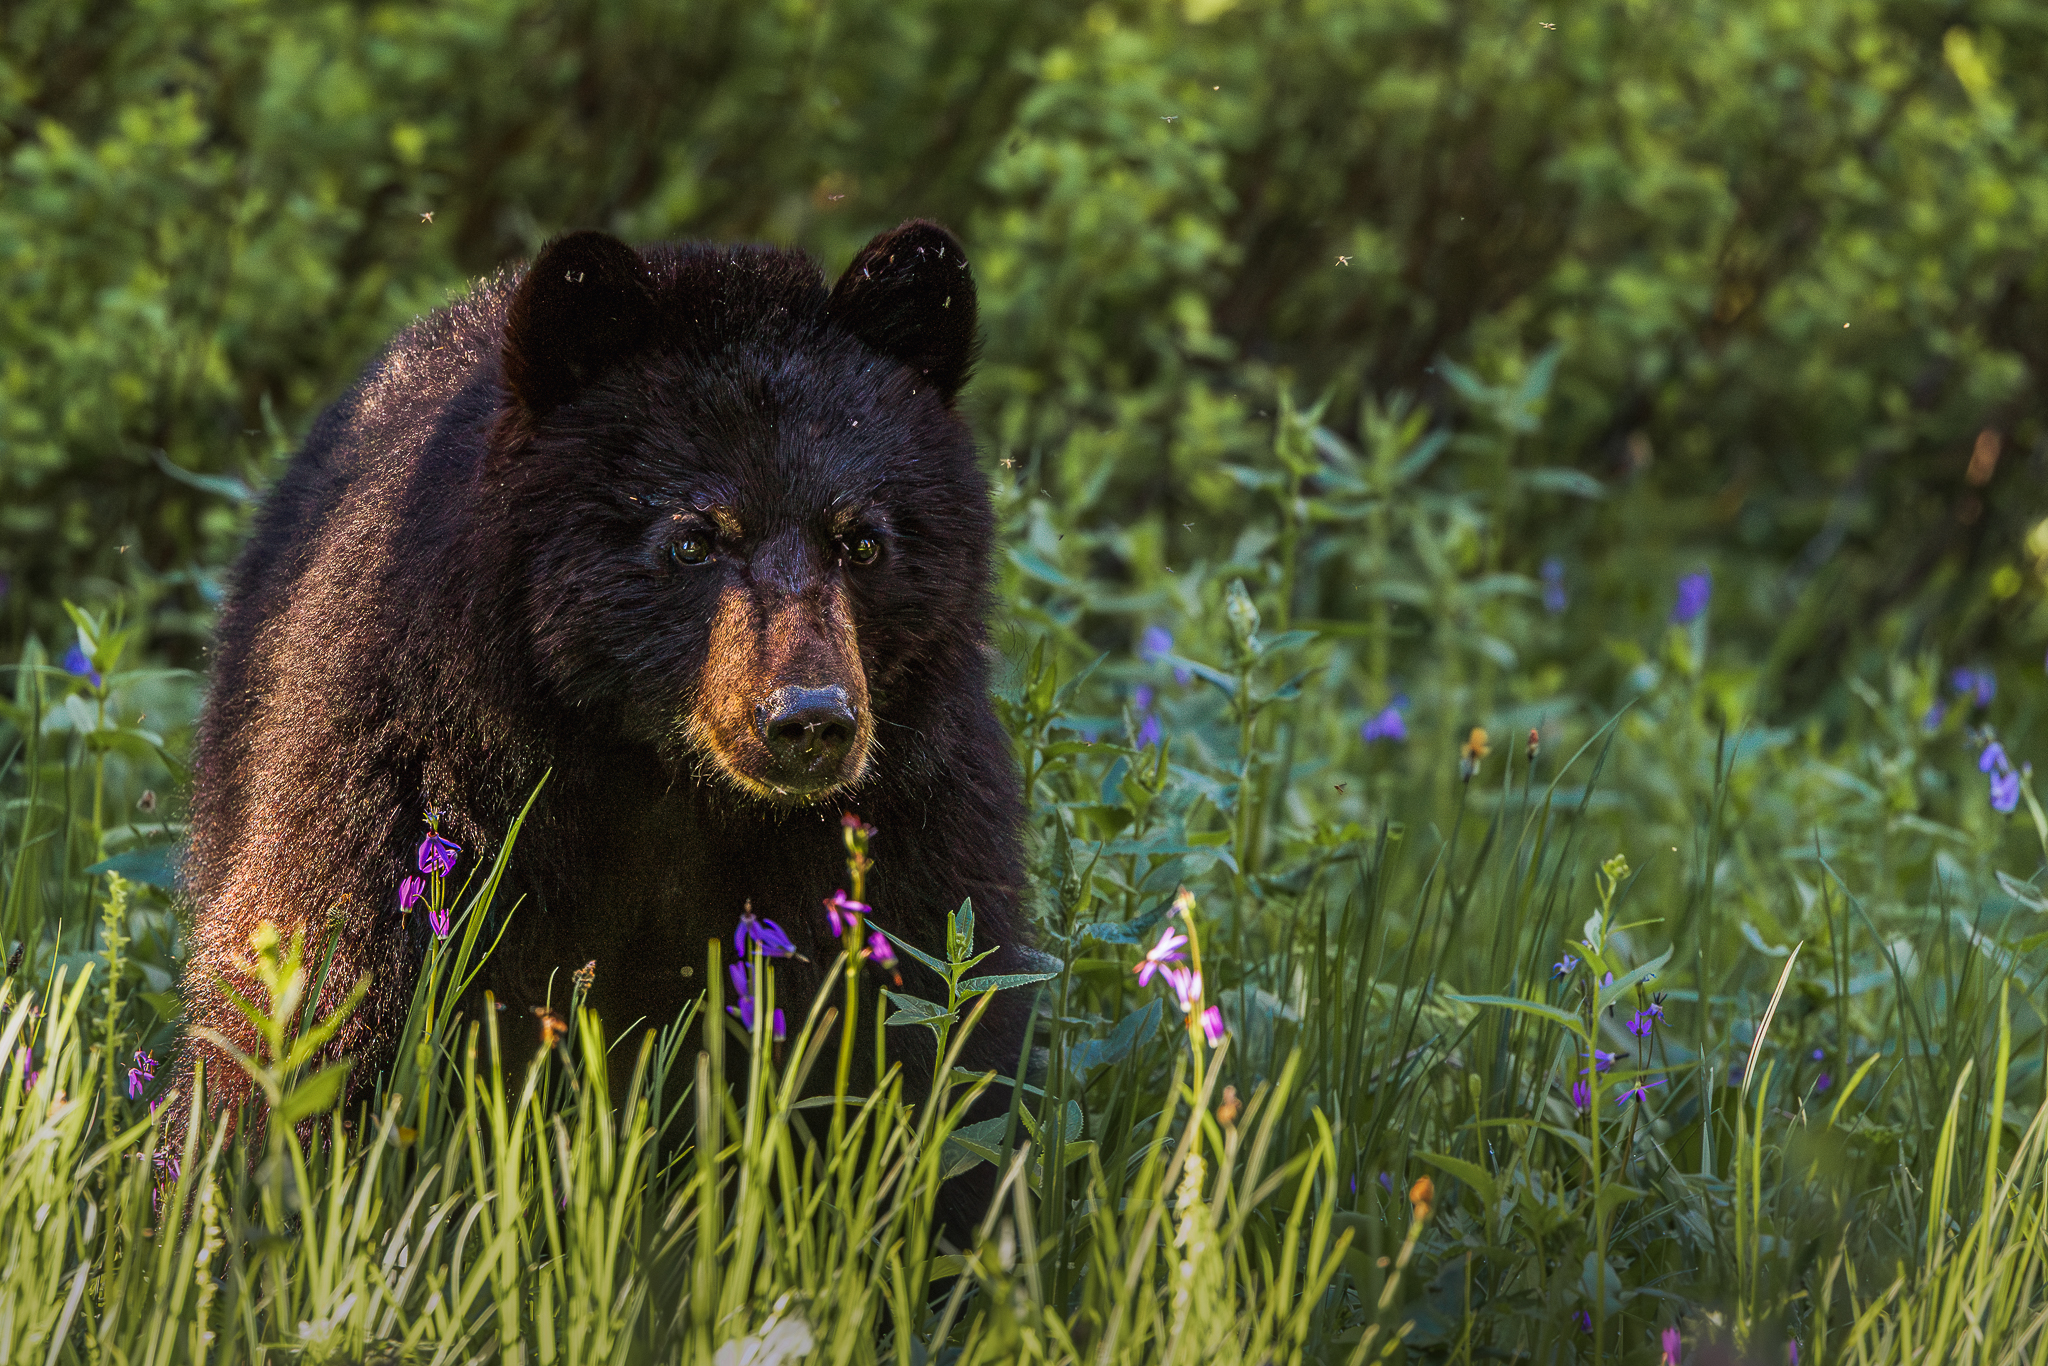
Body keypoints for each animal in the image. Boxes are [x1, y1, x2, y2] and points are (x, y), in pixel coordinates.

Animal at [172, 220, 1037, 1170]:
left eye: (862, 541)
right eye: (694, 539)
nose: (808, 721)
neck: (660, 777)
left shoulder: (910, 809)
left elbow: (925, 1028)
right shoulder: (413, 764)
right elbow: (334, 990)